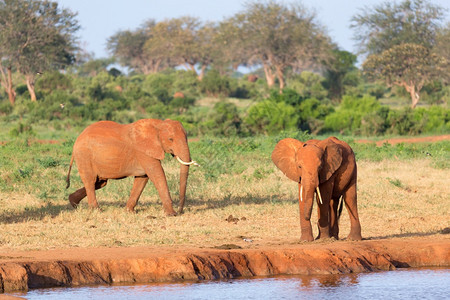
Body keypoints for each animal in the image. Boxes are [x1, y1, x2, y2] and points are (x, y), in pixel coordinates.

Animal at [65, 118, 199, 214]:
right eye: (170, 139)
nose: (180, 211)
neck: (158, 124)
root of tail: (77, 139)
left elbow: (143, 178)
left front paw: (129, 212)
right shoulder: (143, 151)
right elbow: (157, 174)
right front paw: (171, 214)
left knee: (100, 183)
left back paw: (73, 203)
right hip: (84, 156)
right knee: (91, 181)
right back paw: (96, 210)